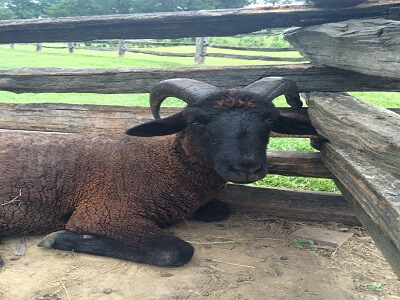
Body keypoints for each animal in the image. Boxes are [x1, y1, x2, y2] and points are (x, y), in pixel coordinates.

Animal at [0, 77, 314, 268]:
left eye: (270, 120)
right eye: (196, 121)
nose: (246, 166)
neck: (162, 164)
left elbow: (221, 209)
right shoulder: (103, 213)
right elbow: (175, 251)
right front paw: (60, 238)